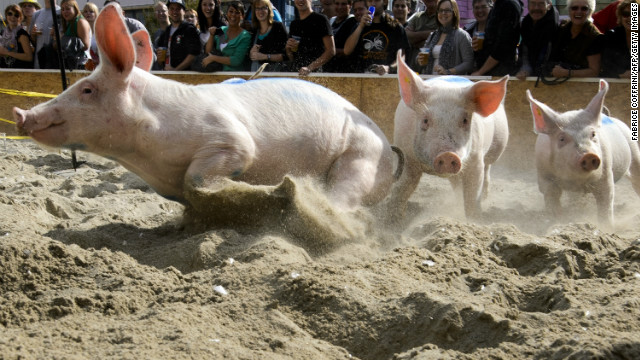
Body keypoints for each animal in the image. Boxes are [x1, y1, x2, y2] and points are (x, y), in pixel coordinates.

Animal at [12, 4, 402, 214]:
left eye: (87, 89)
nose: (20, 114)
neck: (145, 155)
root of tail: (389, 149)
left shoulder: (230, 139)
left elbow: (199, 178)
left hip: (359, 159)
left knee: (342, 198)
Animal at [384, 50, 510, 219]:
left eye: (464, 120)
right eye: (425, 120)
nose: (448, 154)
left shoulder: (475, 159)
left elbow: (472, 195)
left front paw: (475, 219)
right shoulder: (407, 156)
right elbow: (402, 189)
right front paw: (392, 219)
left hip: (498, 145)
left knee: (487, 168)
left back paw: (484, 197)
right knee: (456, 183)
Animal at [524, 80, 640, 229]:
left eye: (593, 134)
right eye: (562, 138)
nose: (589, 155)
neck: (577, 180)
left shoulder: (606, 171)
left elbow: (606, 199)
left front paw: (606, 227)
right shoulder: (544, 175)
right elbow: (551, 197)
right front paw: (557, 222)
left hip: (635, 154)